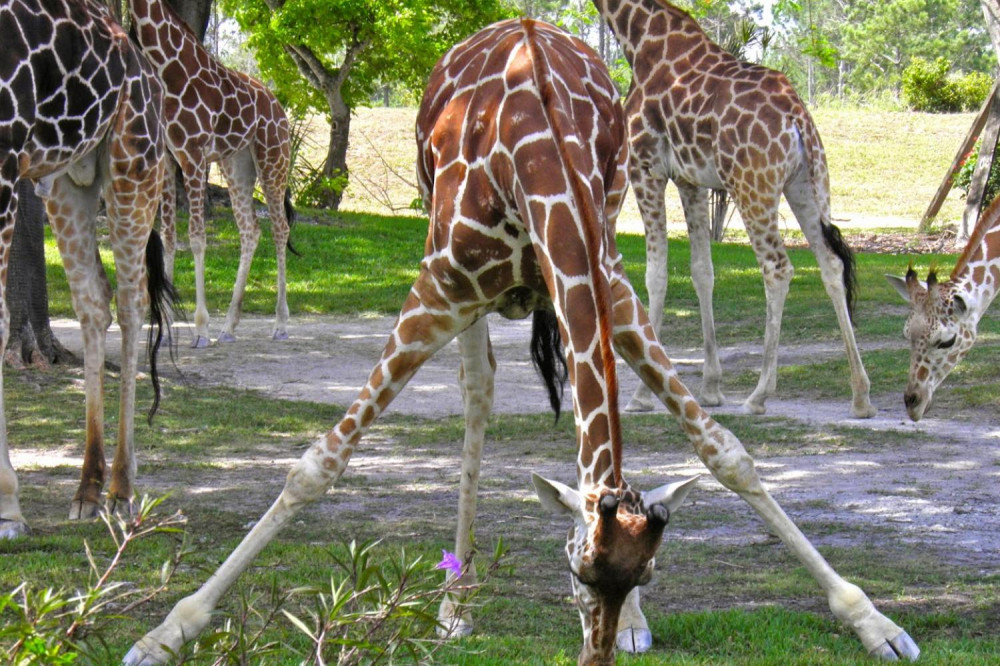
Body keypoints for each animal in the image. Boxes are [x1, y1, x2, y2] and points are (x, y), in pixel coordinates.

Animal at [0, 0, 175, 536]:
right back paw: (88, 490)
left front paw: (8, 507)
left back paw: (119, 489)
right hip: (63, 179)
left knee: (132, 300)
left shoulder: (3, 160)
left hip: (131, 163)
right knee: (94, 301)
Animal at [127, 0, 294, 348]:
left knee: (280, 228)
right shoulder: (168, 157)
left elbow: (197, 237)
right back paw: (229, 326)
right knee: (250, 229)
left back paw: (280, 323)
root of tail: (279, 108)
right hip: (237, 164)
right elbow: (169, 236)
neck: (168, 70)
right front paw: (165, 331)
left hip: (273, 158)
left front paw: (201, 328)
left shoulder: (194, 155)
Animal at [592, 0, 876, 418]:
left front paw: (643, 394)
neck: (641, 41)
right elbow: (702, 271)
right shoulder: (690, 180)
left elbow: (655, 274)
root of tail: (797, 119)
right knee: (831, 264)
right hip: (807, 186)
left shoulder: (646, 168)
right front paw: (711, 388)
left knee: (778, 268)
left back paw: (759, 395)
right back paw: (860, 396)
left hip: (751, 187)